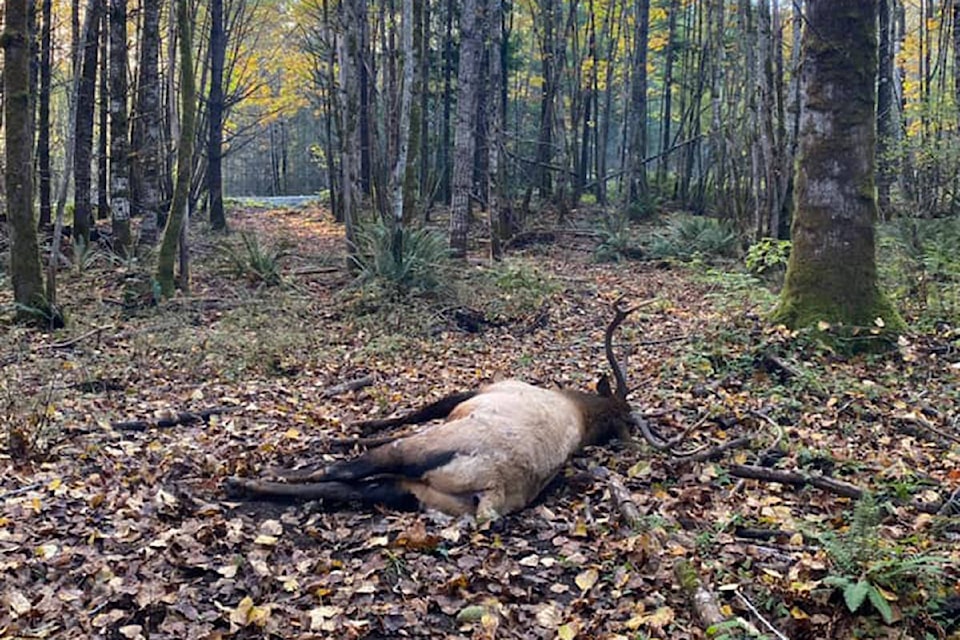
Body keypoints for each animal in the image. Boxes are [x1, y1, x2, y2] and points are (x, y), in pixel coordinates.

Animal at [228, 300, 640, 520]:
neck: (579, 409)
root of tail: (492, 488)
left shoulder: (476, 391)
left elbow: (413, 414)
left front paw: (353, 426)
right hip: (417, 493)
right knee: (351, 488)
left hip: (420, 454)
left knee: (340, 472)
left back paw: (249, 479)